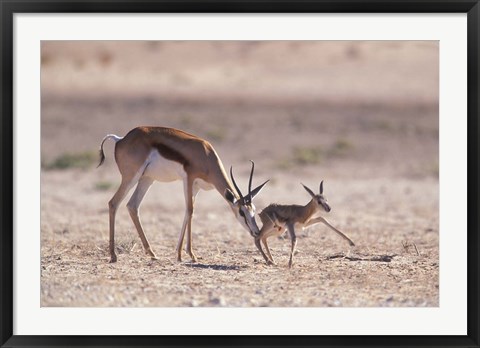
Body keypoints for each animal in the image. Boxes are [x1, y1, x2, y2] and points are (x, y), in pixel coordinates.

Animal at [98, 126, 268, 262]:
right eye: (242, 212)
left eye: (253, 210)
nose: (256, 231)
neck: (206, 154)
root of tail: (121, 139)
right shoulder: (188, 178)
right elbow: (190, 210)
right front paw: (190, 254)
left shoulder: (196, 186)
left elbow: (188, 212)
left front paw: (180, 254)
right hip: (131, 177)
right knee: (113, 203)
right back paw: (113, 255)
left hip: (147, 179)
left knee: (132, 206)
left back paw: (152, 253)